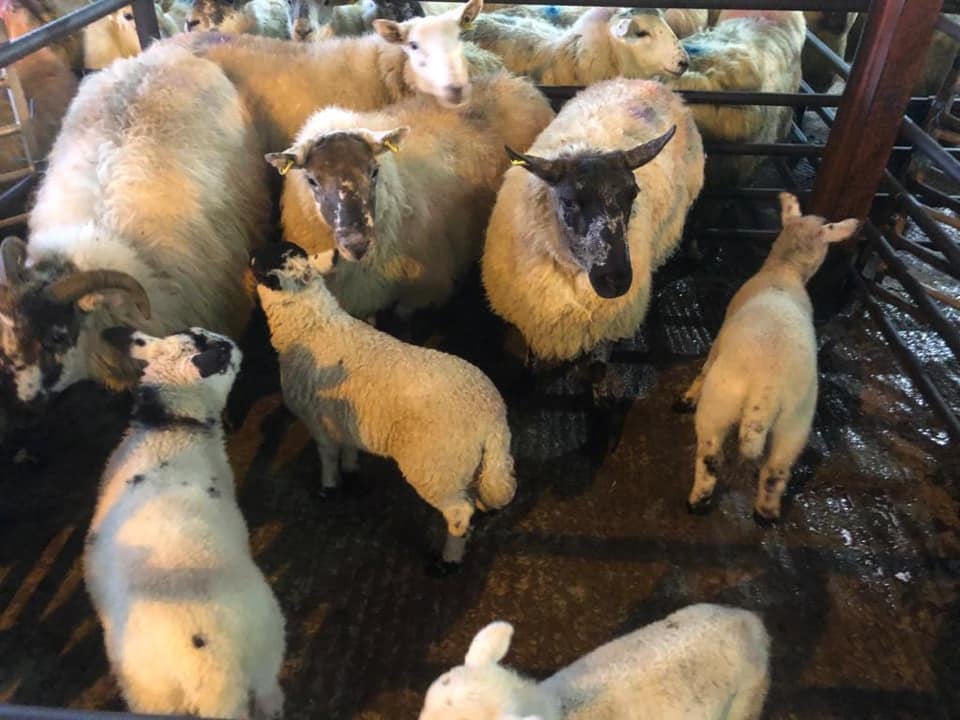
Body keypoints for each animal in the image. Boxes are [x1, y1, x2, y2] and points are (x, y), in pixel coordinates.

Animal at [85, 326, 285, 719]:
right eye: (221, 352)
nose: (235, 344)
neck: (169, 432)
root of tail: (210, 669)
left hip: (154, 697)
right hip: (267, 642)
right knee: (270, 692)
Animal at [251, 242, 516, 569]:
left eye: (259, 263)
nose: (249, 256)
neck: (312, 326)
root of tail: (493, 418)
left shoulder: (316, 418)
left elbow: (327, 456)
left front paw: (328, 488)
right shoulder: (341, 415)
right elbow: (348, 446)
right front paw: (351, 468)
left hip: (435, 467)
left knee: (458, 514)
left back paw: (448, 561)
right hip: (468, 464)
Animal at [677, 193, 859, 522]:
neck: (784, 271)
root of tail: (766, 393)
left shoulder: (721, 336)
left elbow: (704, 366)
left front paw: (687, 397)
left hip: (719, 404)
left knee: (710, 459)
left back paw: (698, 501)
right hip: (795, 422)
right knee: (777, 470)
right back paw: (766, 514)